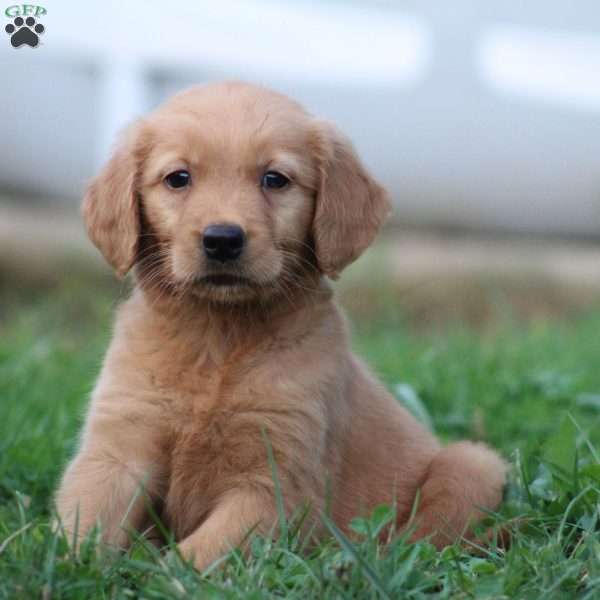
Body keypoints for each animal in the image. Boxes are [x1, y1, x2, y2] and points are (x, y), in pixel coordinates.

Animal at [55, 82, 506, 568]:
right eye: (178, 178)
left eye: (275, 179)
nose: (222, 239)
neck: (219, 338)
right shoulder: (115, 450)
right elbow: (85, 524)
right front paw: (65, 571)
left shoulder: (275, 485)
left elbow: (195, 556)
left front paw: (154, 574)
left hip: (473, 466)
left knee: (425, 537)